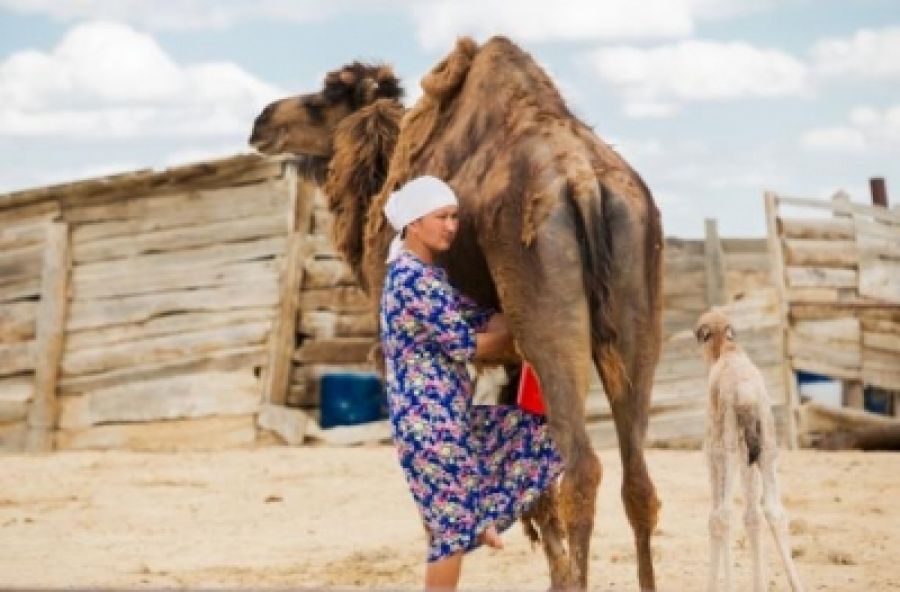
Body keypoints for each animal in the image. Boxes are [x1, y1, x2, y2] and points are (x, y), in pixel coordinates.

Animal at [250, 35, 664, 588]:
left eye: (323, 98)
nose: (261, 121)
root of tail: (580, 178)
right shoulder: (511, 359)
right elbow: (534, 488)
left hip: (550, 313)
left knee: (582, 470)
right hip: (638, 296)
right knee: (636, 477)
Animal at [692, 310, 804, 592]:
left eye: (701, 334)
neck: (728, 350)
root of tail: (747, 394)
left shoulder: (714, 452)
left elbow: (716, 517)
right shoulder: (749, 455)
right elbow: (753, 517)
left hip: (730, 448)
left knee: (723, 514)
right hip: (767, 447)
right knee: (773, 511)